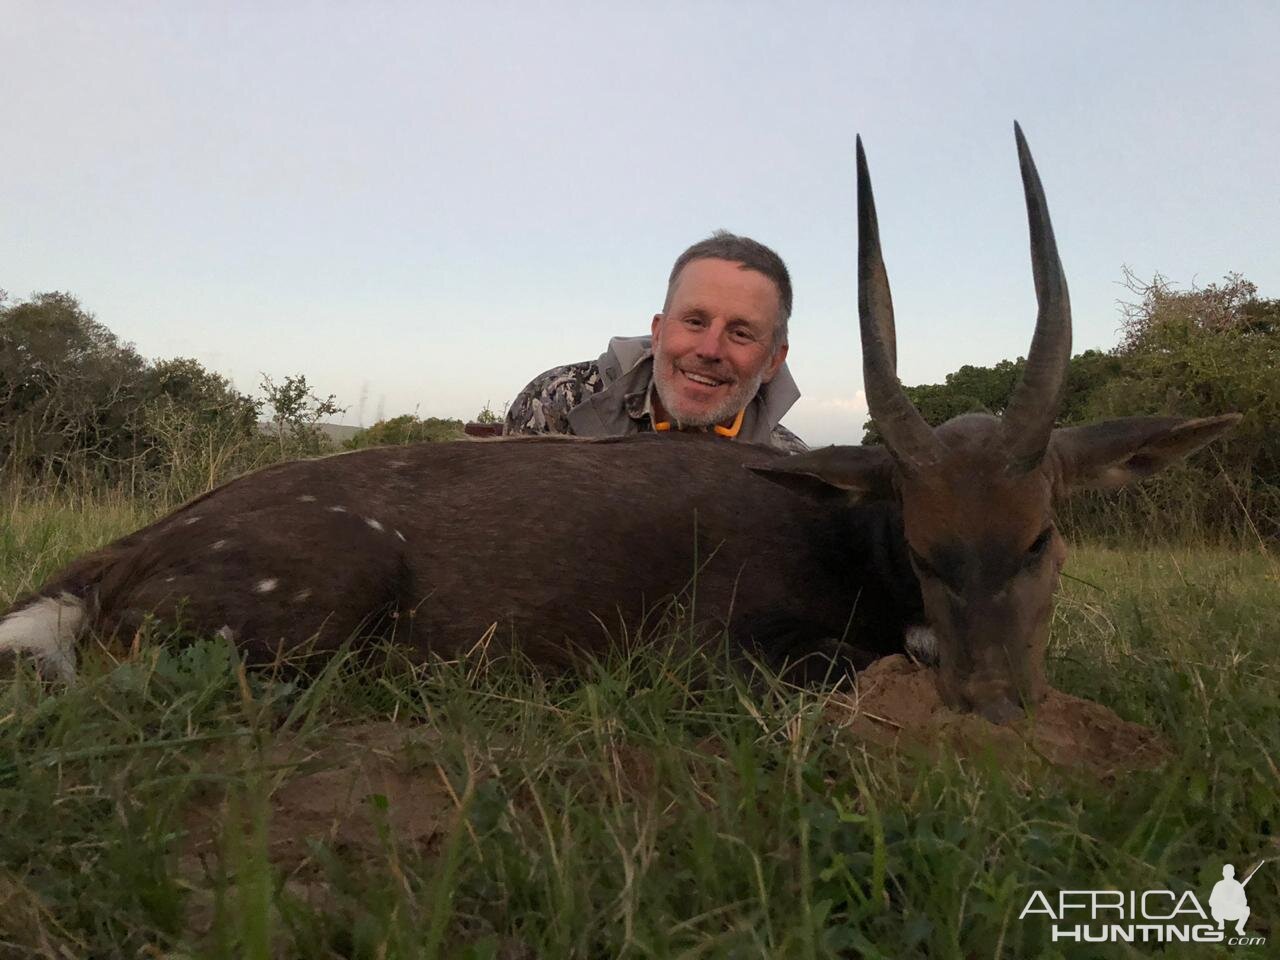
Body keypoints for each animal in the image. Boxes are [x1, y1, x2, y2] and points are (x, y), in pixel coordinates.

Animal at [0, 126, 1239, 721]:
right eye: (925, 547)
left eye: (1039, 537)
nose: (990, 707)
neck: (844, 535)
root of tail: (105, 564)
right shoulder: (718, 649)